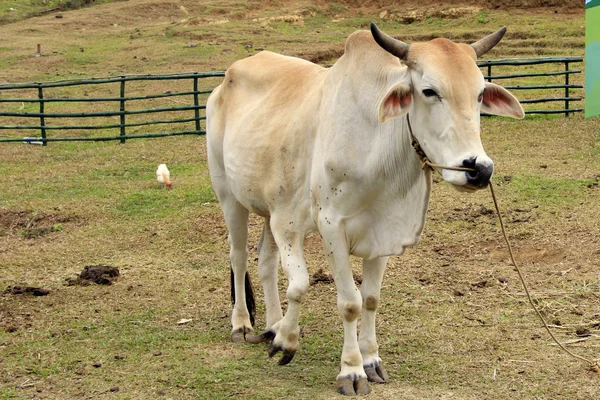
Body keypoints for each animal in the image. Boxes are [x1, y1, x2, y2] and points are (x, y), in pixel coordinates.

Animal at [205, 23, 520, 396]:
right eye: (429, 91)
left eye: (480, 93)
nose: (478, 168)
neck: (373, 145)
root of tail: (227, 79)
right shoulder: (330, 227)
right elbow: (346, 301)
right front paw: (349, 370)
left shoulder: (381, 231)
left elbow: (369, 299)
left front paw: (370, 361)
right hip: (229, 195)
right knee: (238, 258)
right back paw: (242, 325)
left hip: (273, 209)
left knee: (266, 261)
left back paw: (273, 325)